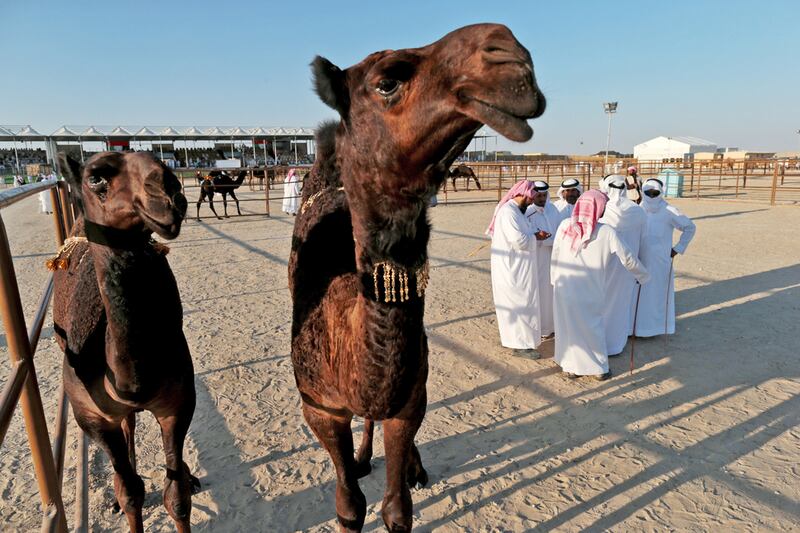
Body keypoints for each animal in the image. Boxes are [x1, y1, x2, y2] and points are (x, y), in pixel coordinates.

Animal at [53, 151, 200, 532]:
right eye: (96, 177)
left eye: (162, 160)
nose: (169, 192)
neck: (130, 383)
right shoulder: (90, 415)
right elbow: (130, 492)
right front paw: (124, 501)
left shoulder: (178, 403)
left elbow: (177, 497)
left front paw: (184, 482)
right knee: (128, 428)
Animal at [290, 22, 548, 528]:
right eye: (387, 81)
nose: (512, 54)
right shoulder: (320, 409)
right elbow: (349, 506)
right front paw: (355, 474)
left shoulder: (410, 401)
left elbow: (397, 507)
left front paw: (406, 473)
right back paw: (364, 458)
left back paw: (413, 466)